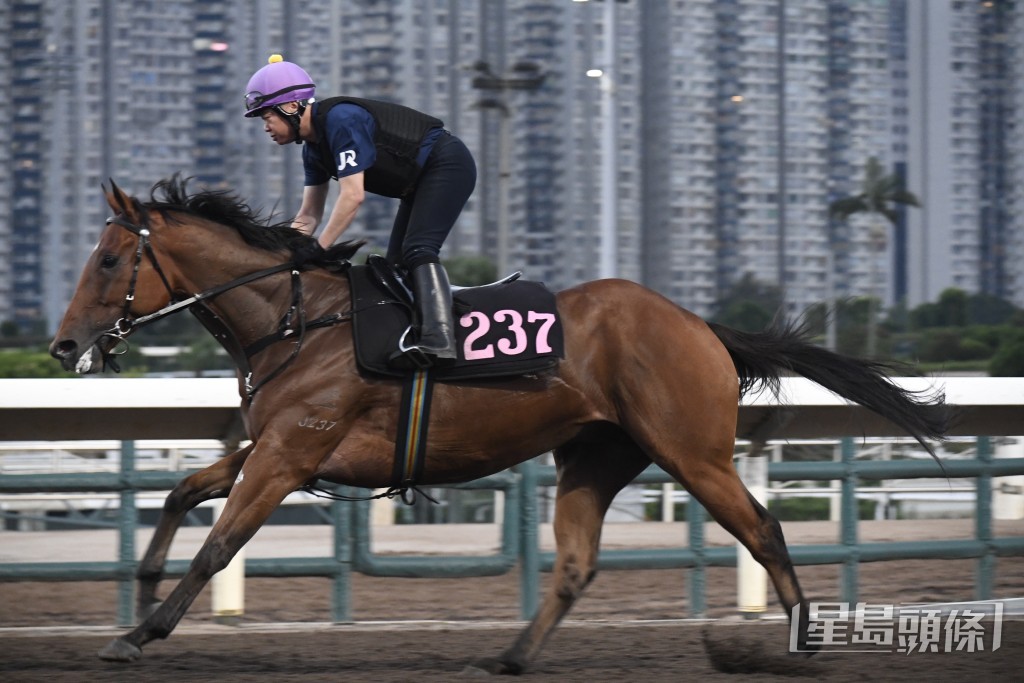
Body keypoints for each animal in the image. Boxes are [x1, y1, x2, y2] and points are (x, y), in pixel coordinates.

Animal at [49, 175, 950, 671]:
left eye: (108, 260)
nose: (63, 345)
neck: (296, 319)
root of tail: (700, 323)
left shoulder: (290, 455)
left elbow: (219, 544)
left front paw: (142, 630)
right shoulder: (272, 444)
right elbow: (179, 494)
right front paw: (139, 587)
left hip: (692, 450)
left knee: (763, 527)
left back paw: (802, 642)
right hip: (595, 457)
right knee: (577, 563)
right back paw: (511, 656)